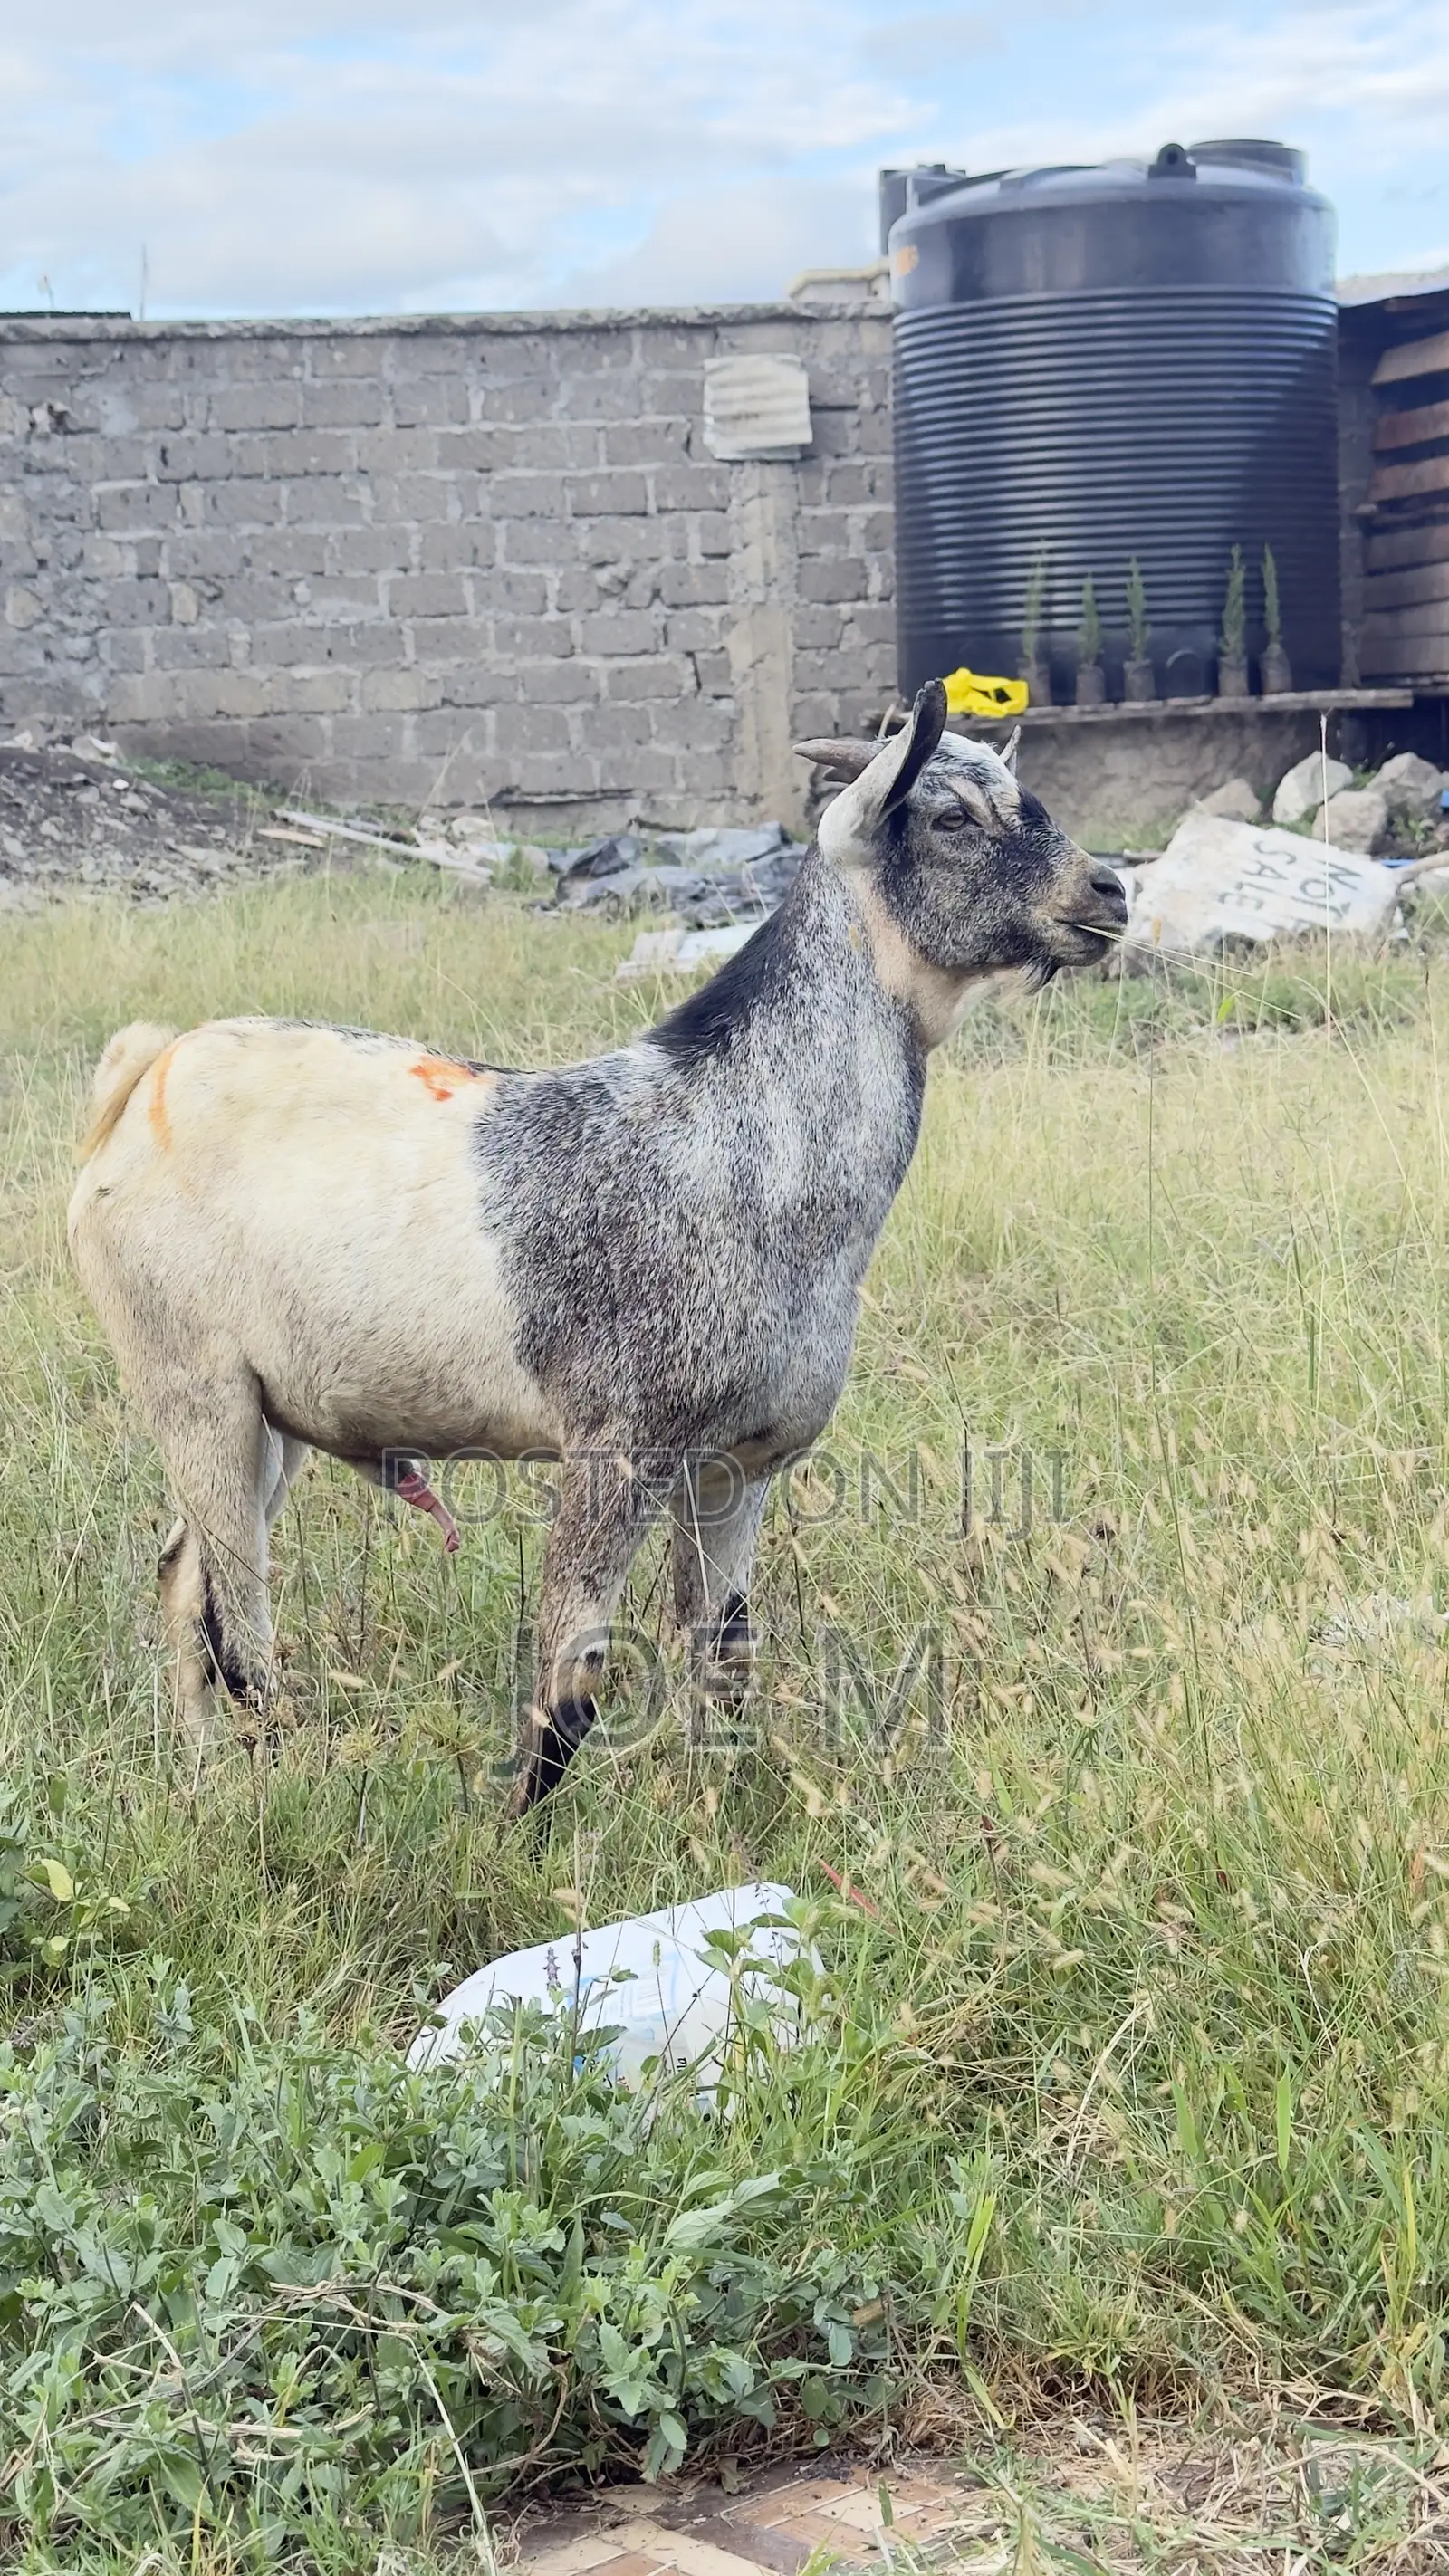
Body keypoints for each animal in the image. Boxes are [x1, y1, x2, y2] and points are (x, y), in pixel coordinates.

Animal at [68, 680, 1125, 1813]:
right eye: (950, 818)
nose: (1110, 889)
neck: (737, 1137)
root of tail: (144, 1077)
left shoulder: (742, 1465)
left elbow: (721, 1653)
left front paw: (716, 1811)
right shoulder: (617, 1445)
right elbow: (571, 1672)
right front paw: (519, 1831)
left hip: (276, 1413)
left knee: (185, 1576)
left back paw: (201, 1770)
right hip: (194, 1382)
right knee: (234, 1610)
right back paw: (266, 1775)